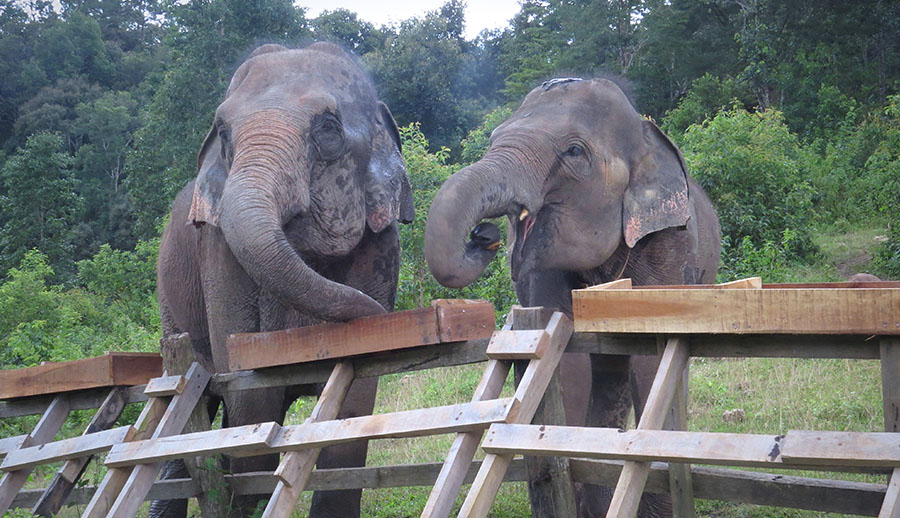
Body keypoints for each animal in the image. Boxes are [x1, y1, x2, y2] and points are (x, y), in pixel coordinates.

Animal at [156, 41, 414, 518]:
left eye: (328, 128)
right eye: (223, 132)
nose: (388, 318)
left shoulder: (382, 246)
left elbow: (354, 403)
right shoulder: (219, 253)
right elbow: (251, 399)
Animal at [424, 75, 724, 516]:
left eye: (574, 151)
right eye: (494, 137)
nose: (484, 235)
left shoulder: (671, 242)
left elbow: (655, 361)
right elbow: (566, 359)